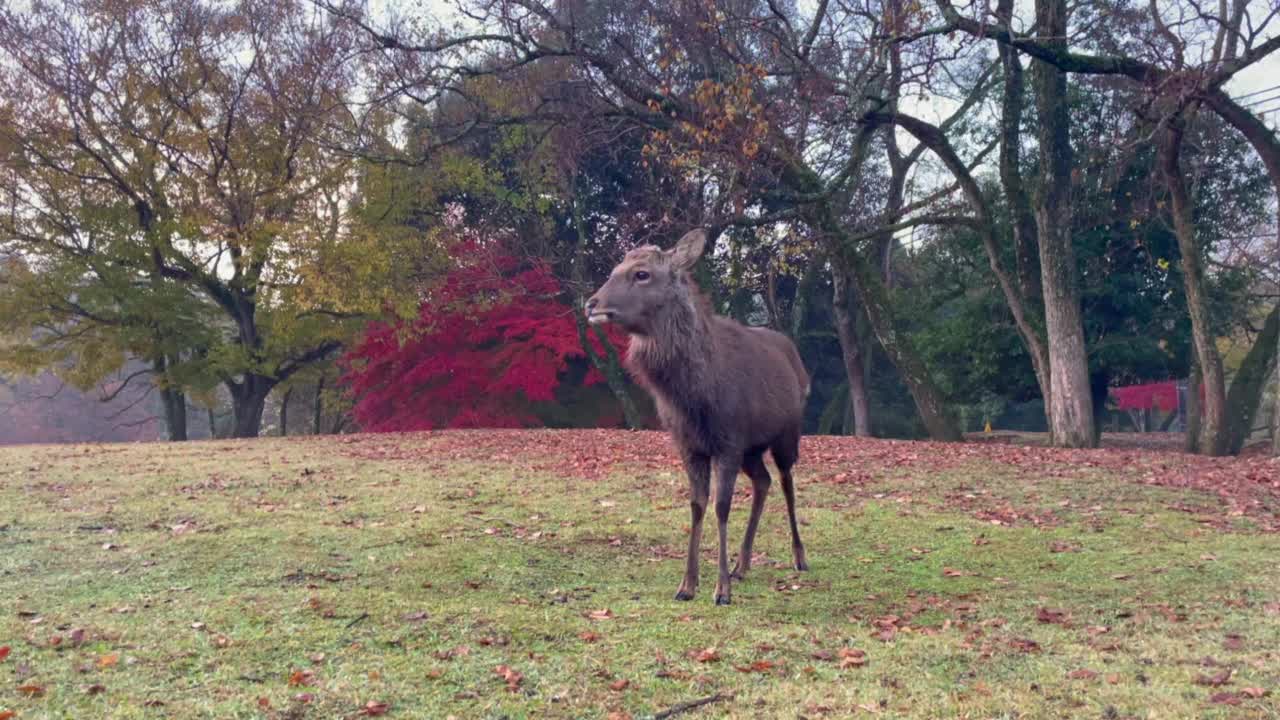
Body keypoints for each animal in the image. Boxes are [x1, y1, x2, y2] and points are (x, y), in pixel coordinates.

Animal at [583, 228, 803, 599]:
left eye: (641, 274)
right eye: (614, 270)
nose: (591, 303)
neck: (694, 399)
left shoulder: (728, 441)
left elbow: (721, 506)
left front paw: (721, 590)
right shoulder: (689, 445)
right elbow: (697, 505)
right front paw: (687, 584)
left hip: (788, 433)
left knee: (787, 481)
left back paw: (800, 557)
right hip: (752, 449)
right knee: (764, 481)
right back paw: (742, 565)